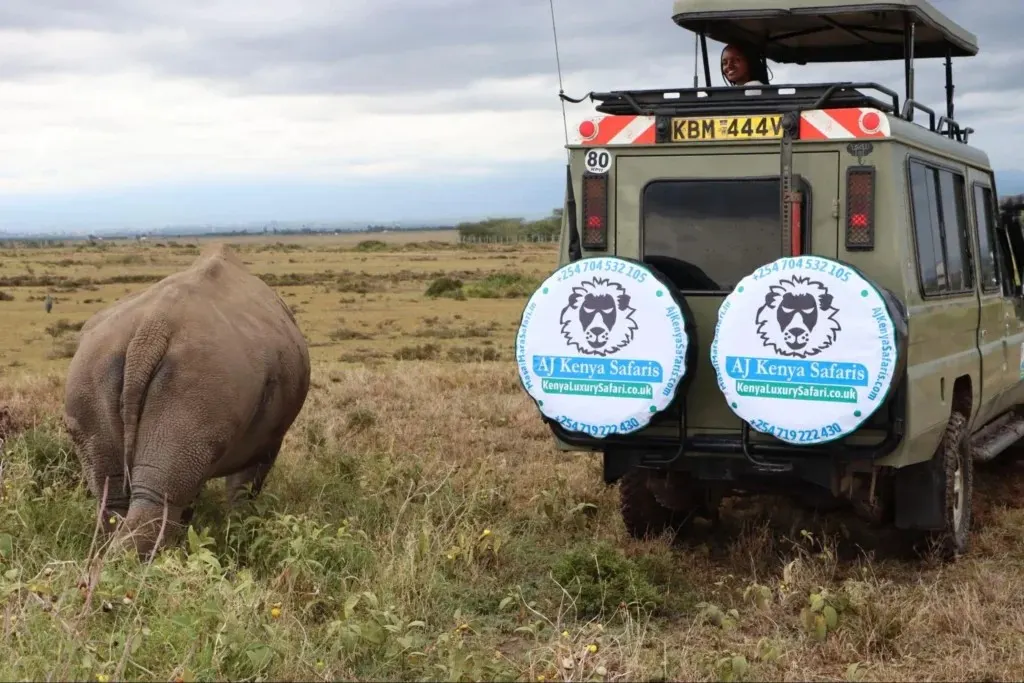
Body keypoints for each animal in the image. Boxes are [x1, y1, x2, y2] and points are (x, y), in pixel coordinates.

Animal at [63, 243, 311, 557]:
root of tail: (151, 330)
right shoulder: (266, 440)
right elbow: (243, 491)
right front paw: (242, 534)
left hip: (93, 365)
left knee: (115, 495)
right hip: (204, 376)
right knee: (161, 499)